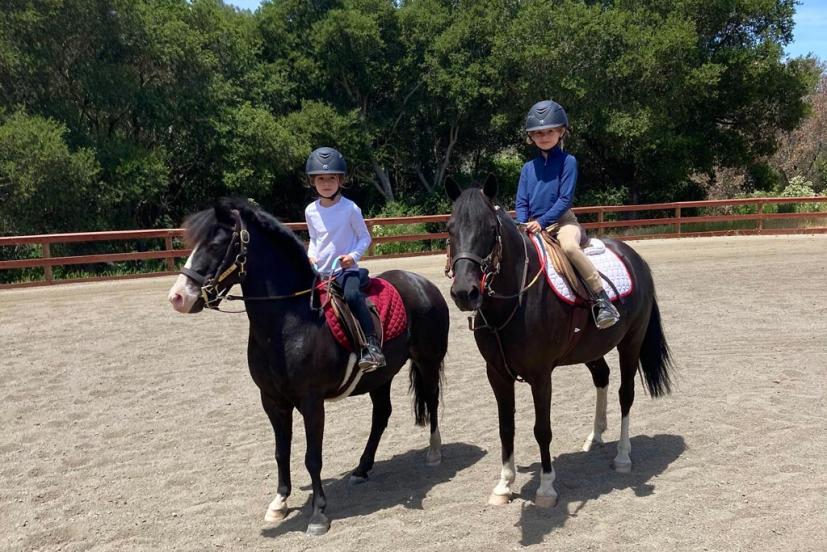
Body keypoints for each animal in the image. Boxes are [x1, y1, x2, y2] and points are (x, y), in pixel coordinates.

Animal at [168, 197, 450, 536]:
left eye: (216, 244)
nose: (178, 297)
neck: (290, 321)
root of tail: (422, 283)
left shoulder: (311, 401)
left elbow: (312, 457)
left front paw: (318, 514)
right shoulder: (272, 401)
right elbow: (281, 452)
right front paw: (278, 504)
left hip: (427, 361)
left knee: (431, 401)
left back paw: (434, 453)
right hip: (380, 377)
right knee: (381, 416)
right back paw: (362, 468)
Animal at [446, 177, 672, 508]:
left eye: (489, 228)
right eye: (450, 229)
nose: (464, 292)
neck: (515, 300)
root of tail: (635, 258)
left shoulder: (541, 376)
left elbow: (542, 429)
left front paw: (546, 488)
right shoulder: (497, 375)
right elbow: (505, 427)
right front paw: (504, 484)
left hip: (631, 342)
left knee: (625, 394)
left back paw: (622, 456)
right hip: (591, 349)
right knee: (602, 377)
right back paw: (595, 437)